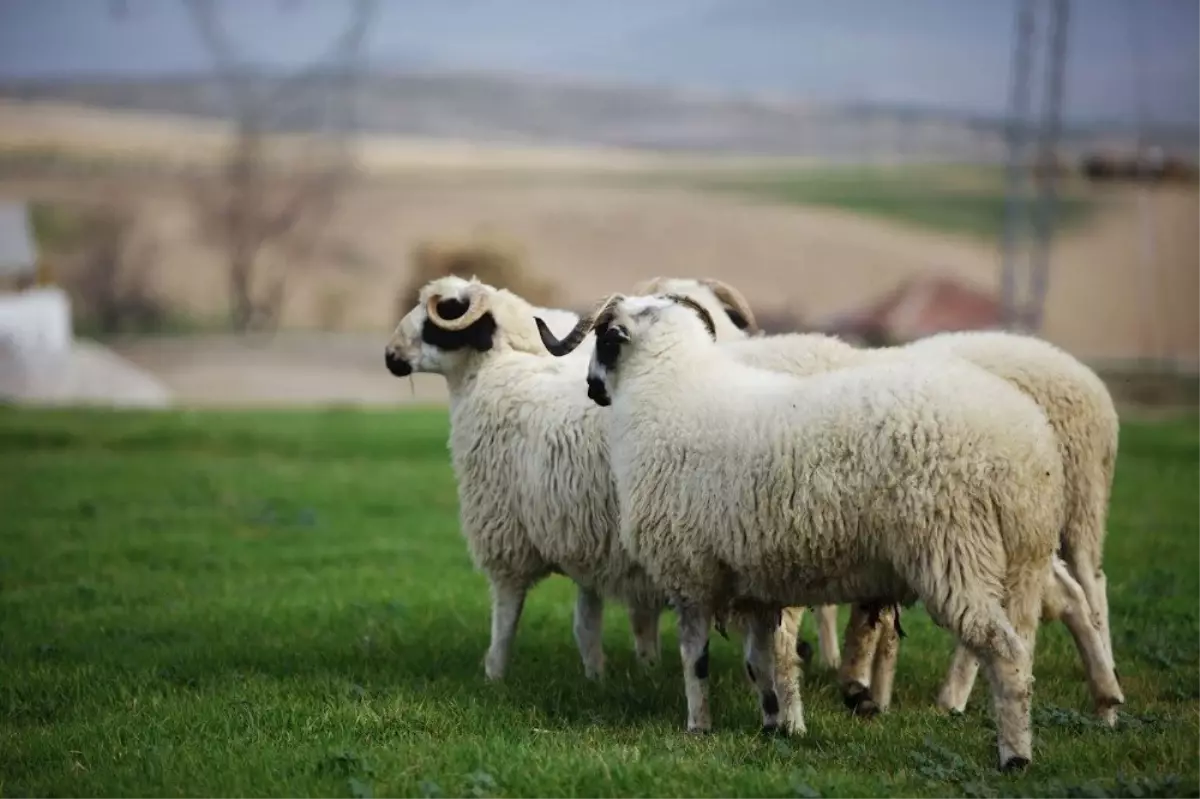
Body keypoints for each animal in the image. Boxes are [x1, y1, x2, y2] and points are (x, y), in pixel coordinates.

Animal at [535, 289, 1070, 767]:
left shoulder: (691, 573)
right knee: (1023, 651)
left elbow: (696, 658)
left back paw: (1014, 758)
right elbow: (761, 662)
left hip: (956, 550)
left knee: (1003, 653)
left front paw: (698, 726)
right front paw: (773, 725)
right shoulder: (750, 581)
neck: (668, 392)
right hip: (1023, 561)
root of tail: (1026, 446)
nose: (592, 388)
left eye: (604, 338)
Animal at [648, 275, 1123, 719]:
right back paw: (1105, 696)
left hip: (1065, 506)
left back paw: (963, 695)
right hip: (1026, 529)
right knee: (1066, 595)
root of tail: (1088, 381)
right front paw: (863, 687)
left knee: (1085, 584)